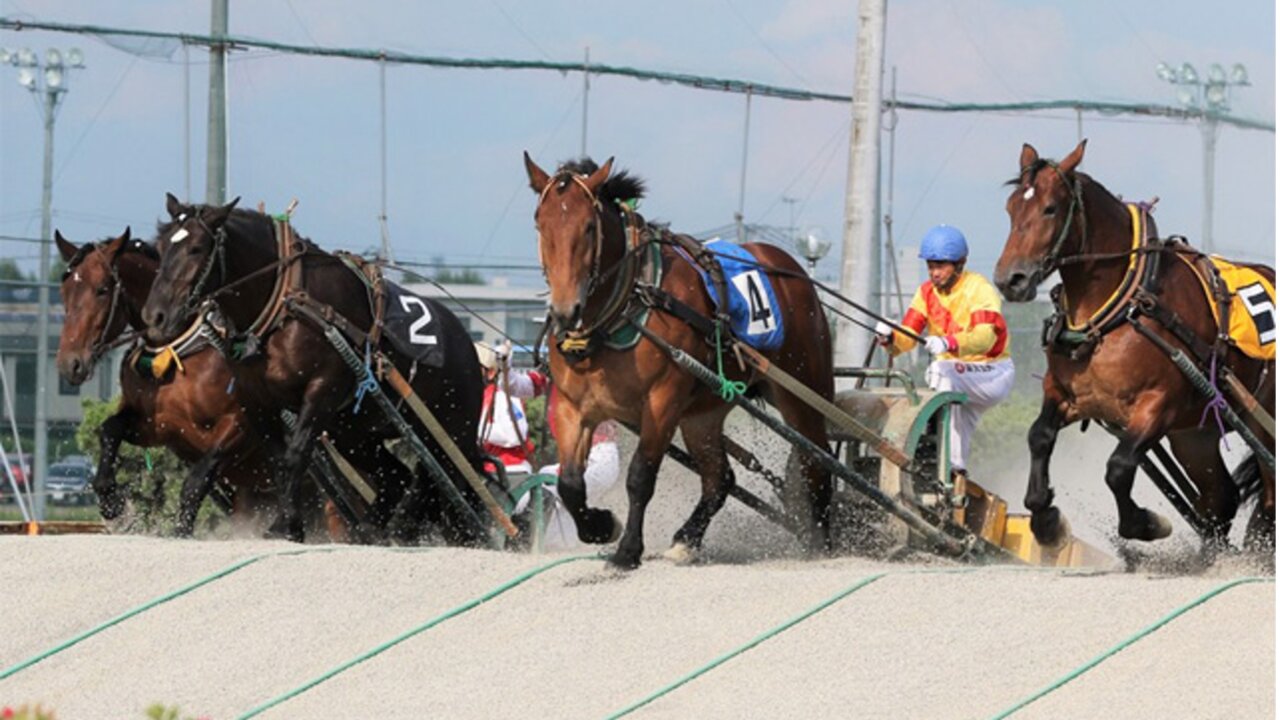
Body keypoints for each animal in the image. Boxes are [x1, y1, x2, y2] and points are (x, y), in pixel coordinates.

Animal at [54, 228, 288, 535]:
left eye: (101, 290)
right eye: (65, 292)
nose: (70, 363)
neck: (177, 351)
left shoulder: (241, 425)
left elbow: (196, 482)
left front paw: (181, 530)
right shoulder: (157, 426)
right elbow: (110, 429)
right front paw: (113, 503)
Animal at [138, 194, 491, 545]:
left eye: (196, 248)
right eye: (161, 247)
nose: (155, 316)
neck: (286, 306)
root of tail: (466, 342)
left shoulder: (321, 390)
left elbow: (295, 458)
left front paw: (289, 525)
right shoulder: (256, 400)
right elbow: (279, 461)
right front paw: (286, 523)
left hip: (452, 432)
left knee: (457, 486)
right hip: (354, 432)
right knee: (399, 479)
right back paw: (373, 529)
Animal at [523, 154, 834, 569]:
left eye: (589, 227)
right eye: (541, 224)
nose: (564, 311)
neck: (626, 305)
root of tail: (792, 270)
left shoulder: (662, 402)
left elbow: (640, 476)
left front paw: (628, 550)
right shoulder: (574, 408)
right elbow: (570, 483)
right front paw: (601, 526)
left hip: (803, 393)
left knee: (817, 463)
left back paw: (820, 539)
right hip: (703, 413)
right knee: (720, 478)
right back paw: (688, 538)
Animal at [993, 140, 1275, 552]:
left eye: (1050, 208)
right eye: (1012, 207)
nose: (1009, 279)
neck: (1121, 307)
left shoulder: (1158, 405)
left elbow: (1118, 468)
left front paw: (1147, 522)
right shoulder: (1067, 394)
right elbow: (1039, 436)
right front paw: (1045, 518)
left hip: (1257, 416)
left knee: (1267, 493)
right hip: (1194, 434)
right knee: (1220, 498)